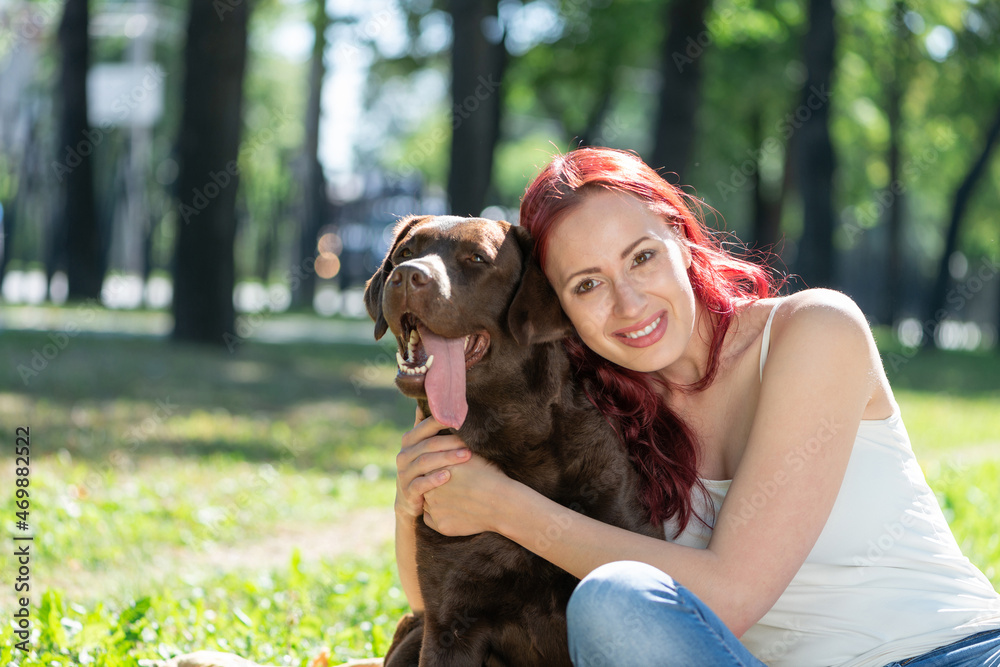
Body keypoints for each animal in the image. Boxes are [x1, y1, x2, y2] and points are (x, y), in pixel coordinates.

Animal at [364, 217, 660, 667]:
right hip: (415, 630)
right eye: (404, 253)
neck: (514, 443)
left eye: (477, 258)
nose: (405, 276)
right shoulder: (449, 623)